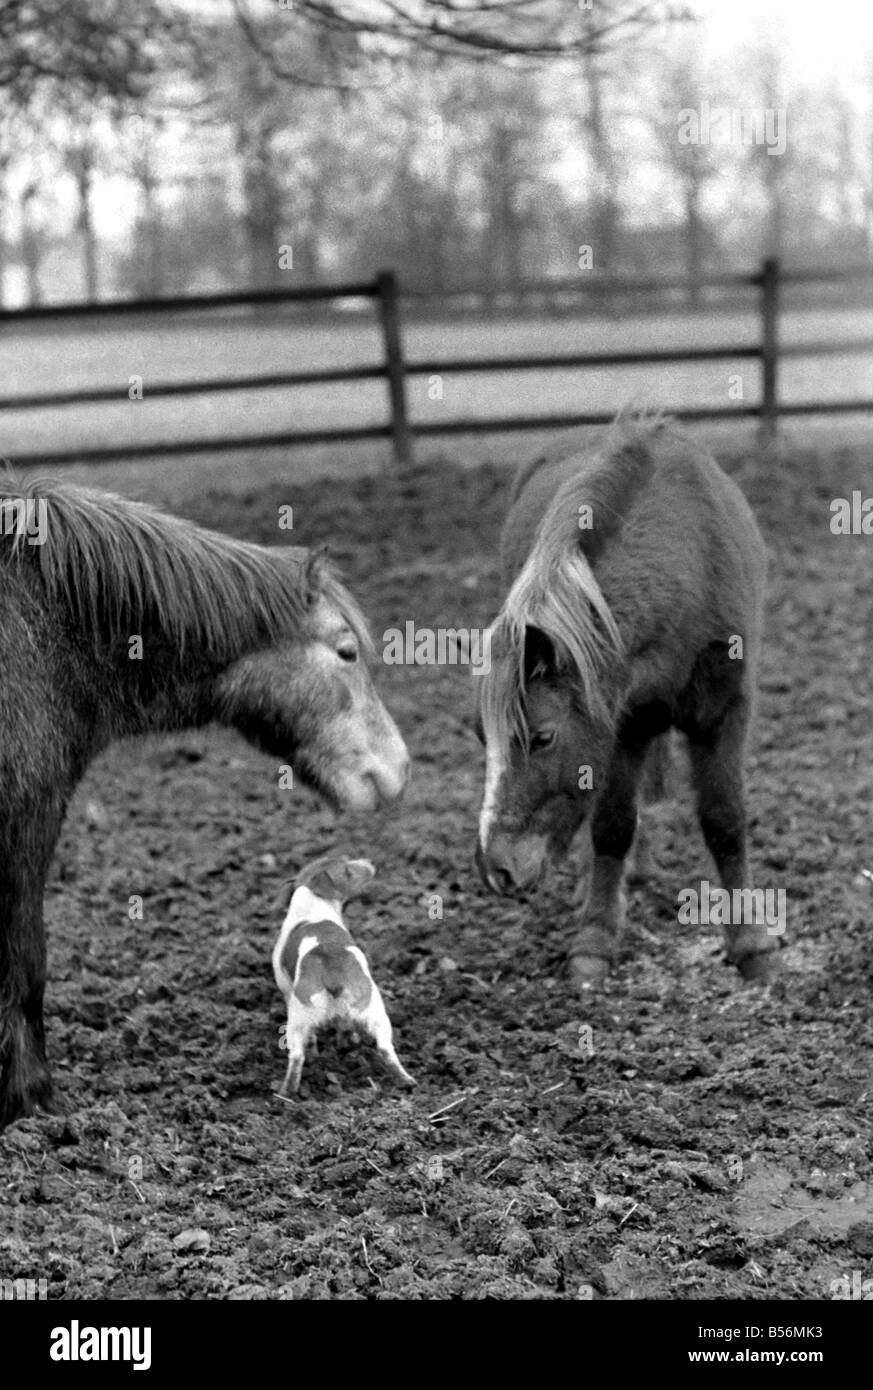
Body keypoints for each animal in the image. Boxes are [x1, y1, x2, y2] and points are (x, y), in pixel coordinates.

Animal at [272, 850, 417, 1100]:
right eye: (348, 870)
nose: (371, 862)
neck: (312, 906)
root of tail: (331, 968)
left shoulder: (287, 992)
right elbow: (343, 1027)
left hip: (299, 1018)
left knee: (298, 1056)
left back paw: (287, 1092)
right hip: (375, 1012)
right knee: (385, 1049)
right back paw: (406, 1081)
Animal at [472, 419, 772, 989]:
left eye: (543, 737)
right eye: (483, 739)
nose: (495, 868)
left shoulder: (725, 713)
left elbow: (724, 820)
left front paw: (752, 944)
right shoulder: (620, 725)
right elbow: (612, 826)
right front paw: (595, 940)